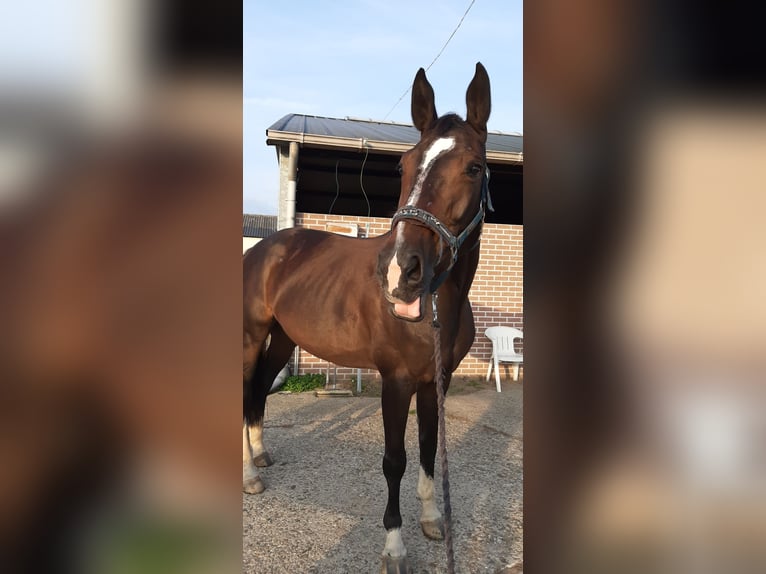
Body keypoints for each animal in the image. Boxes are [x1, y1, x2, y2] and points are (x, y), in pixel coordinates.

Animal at [246, 63, 496, 574]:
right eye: (403, 166)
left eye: (475, 167)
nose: (402, 271)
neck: (437, 303)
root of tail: (266, 247)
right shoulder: (396, 379)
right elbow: (394, 459)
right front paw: (395, 546)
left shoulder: (434, 379)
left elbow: (427, 448)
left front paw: (432, 520)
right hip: (249, 334)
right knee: (244, 389)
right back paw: (247, 477)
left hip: (282, 338)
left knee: (260, 386)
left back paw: (261, 458)